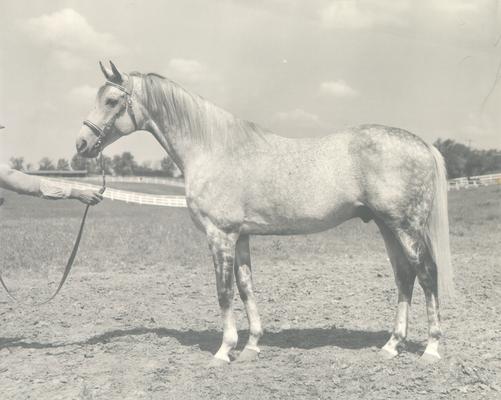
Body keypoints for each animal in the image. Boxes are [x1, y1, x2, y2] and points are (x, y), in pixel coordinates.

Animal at [75, 61, 454, 366]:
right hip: (387, 227)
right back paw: (391, 345)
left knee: (427, 274)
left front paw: (223, 351)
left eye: (111, 101)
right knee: (404, 277)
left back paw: (431, 350)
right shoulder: (241, 235)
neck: (213, 149)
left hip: (405, 227)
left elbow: (224, 291)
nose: (81, 145)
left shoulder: (220, 235)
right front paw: (251, 346)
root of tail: (422, 144)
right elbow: (246, 287)